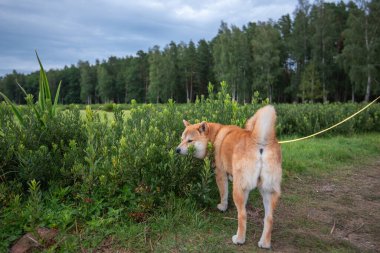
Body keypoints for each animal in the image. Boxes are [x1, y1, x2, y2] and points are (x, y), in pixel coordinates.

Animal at [177, 105, 280, 249]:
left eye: (190, 141)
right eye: (182, 139)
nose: (177, 150)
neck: (214, 137)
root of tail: (259, 141)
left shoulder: (220, 174)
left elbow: (223, 193)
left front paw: (223, 206)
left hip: (239, 189)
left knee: (242, 215)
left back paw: (239, 239)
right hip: (268, 191)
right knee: (269, 218)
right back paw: (264, 243)